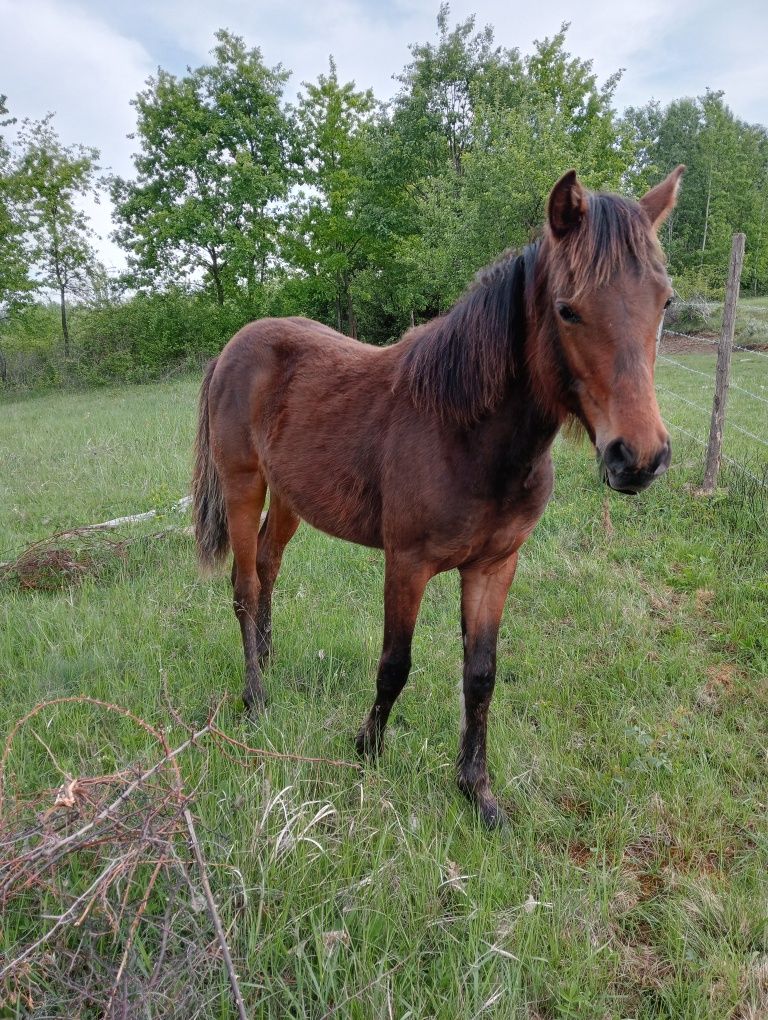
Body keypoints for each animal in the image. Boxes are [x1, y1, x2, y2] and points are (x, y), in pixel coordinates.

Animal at [191, 163, 681, 824]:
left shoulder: (494, 567)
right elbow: (395, 664)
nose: (639, 458)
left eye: (664, 302)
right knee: (244, 587)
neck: (467, 433)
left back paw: (267, 661)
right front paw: (367, 750)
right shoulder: (408, 564)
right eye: (568, 310)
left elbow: (481, 674)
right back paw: (255, 697)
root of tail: (232, 348)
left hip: (289, 497)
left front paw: (476, 789)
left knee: (268, 566)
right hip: (243, 486)